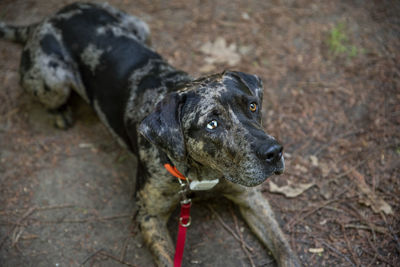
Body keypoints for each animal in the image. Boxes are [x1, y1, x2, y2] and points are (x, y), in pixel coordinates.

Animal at [0, 2, 300, 267]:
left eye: (252, 106)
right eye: (212, 124)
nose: (274, 152)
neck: (202, 173)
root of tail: (50, 17)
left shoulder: (251, 198)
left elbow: (285, 249)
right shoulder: (148, 216)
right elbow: (168, 259)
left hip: (141, 26)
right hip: (51, 82)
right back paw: (59, 112)